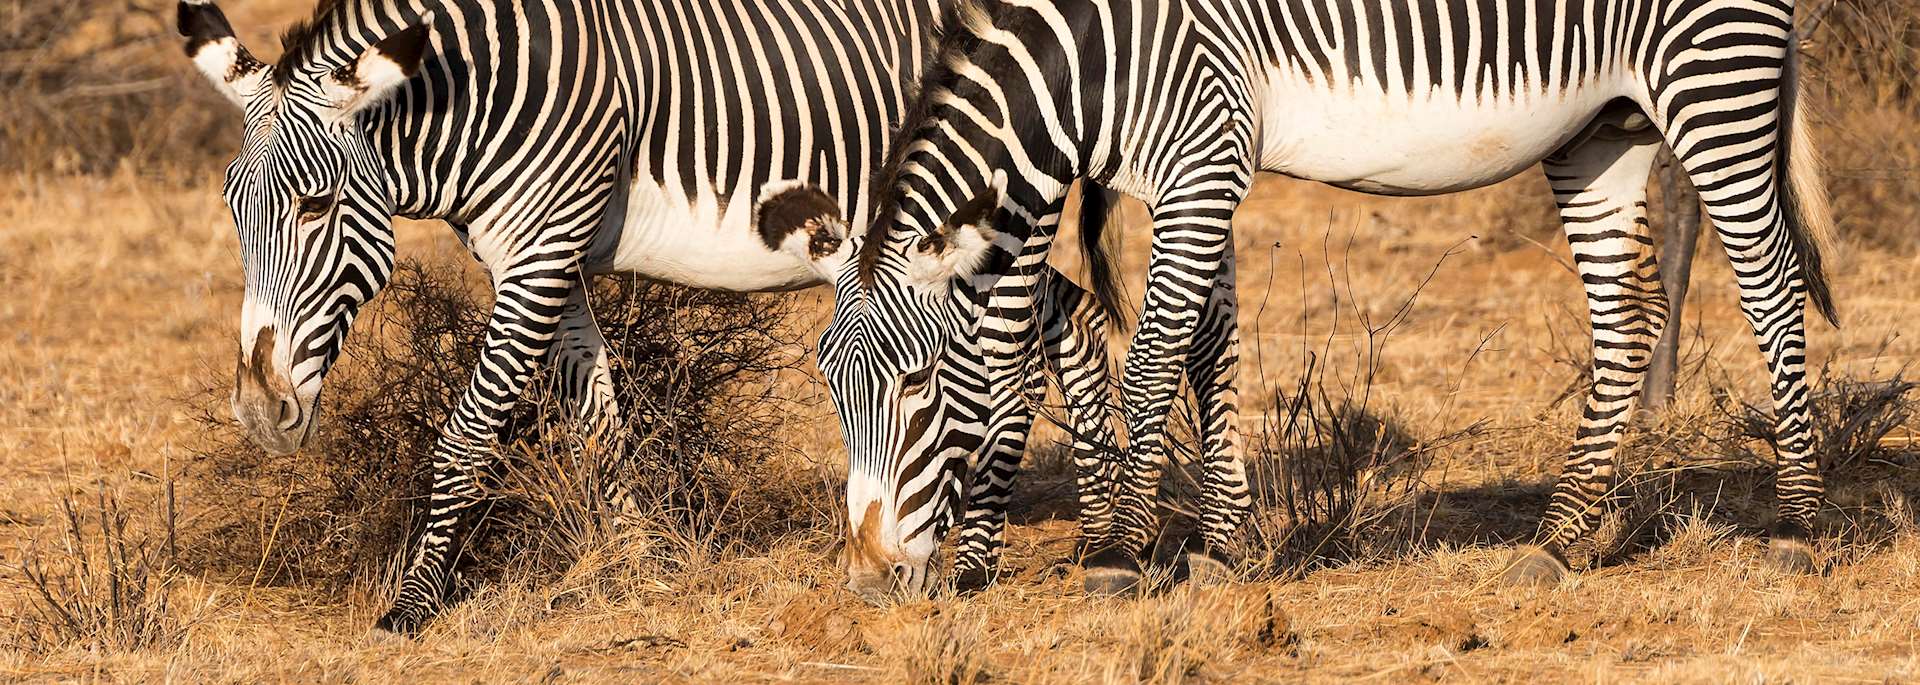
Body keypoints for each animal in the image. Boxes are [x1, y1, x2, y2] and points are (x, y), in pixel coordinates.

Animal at [176, 0, 1125, 633]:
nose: (259, 413)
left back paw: (985, 560)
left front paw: (412, 603)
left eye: (314, 207)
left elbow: (469, 430)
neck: (479, 100)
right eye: (231, 207)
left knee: (1014, 364)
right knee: (1077, 323)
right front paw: (640, 560)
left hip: (996, 220)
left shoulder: (539, 250)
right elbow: (595, 416)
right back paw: (1106, 539)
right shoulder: (540, 259)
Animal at [819, 0, 1838, 595]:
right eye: (832, 391)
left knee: (1774, 287)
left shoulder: (1201, 163)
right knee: (1627, 319)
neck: (1096, 61)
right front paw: (1219, 547)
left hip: (1713, 87)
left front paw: (1118, 557)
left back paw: (1796, 527)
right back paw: (1557, 539)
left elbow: (1152, 362)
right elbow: (1208, 352)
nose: (867, 575)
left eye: (915, 386)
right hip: (1603, 127)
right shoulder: (1199, 173)